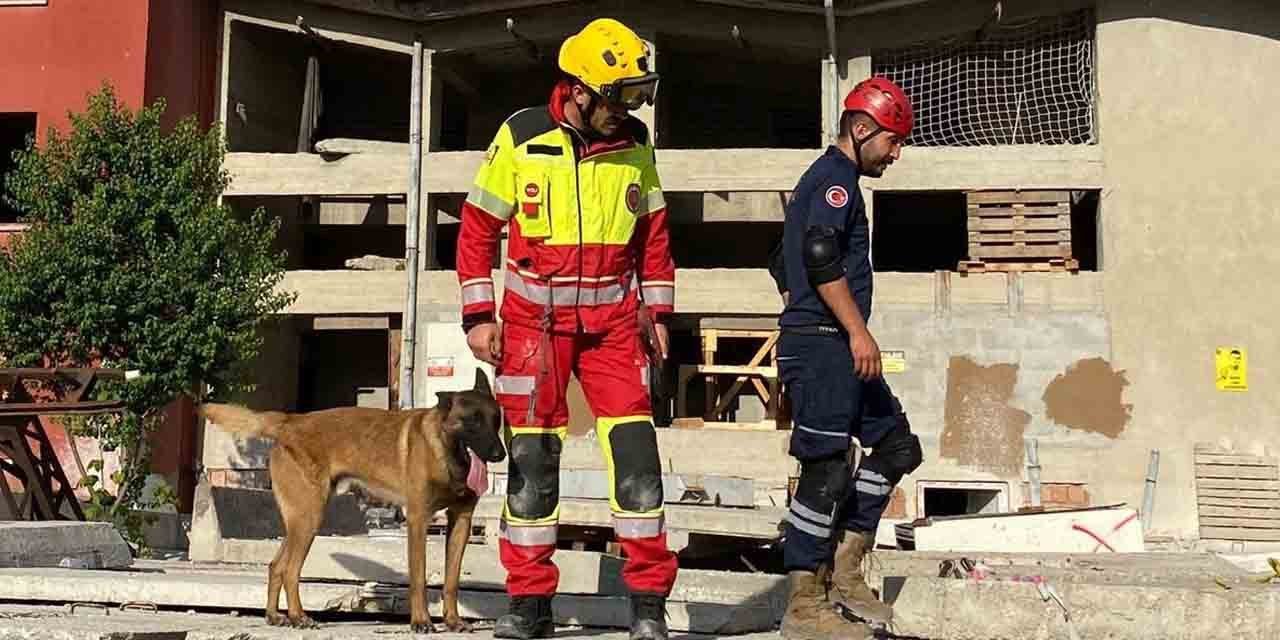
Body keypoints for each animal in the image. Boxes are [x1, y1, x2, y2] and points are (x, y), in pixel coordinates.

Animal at [197, 368, 501, 632]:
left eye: (496, 419)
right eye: (472, 421)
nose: (500, 454)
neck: (445, 452)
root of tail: (291, 420)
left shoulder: (461, 521)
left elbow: (452, 580)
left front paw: (453, 621)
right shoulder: (418, 520)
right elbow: (418, 576)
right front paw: (421, 622)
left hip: (300, 520)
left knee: (277, 566)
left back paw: (275, 616)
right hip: (310, 518)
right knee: (291, 570)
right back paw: (299, 616)